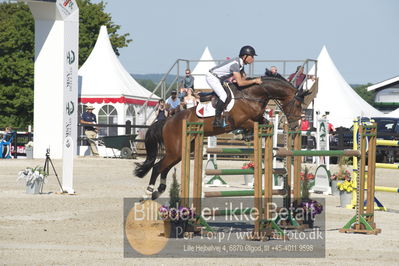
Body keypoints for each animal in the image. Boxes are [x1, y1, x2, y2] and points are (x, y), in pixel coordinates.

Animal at [134, 76, 310, 198]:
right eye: (297, 104)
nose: (295, 126)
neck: (251, 94)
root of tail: (167, 120)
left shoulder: (258, 118)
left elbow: (265, 122)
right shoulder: (241, 120)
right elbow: (249, 124)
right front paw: (245, 135)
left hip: (181, 151)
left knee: (164, 168)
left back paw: (158, 191)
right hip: (175, 150)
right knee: (158, 167)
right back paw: (148, 193)